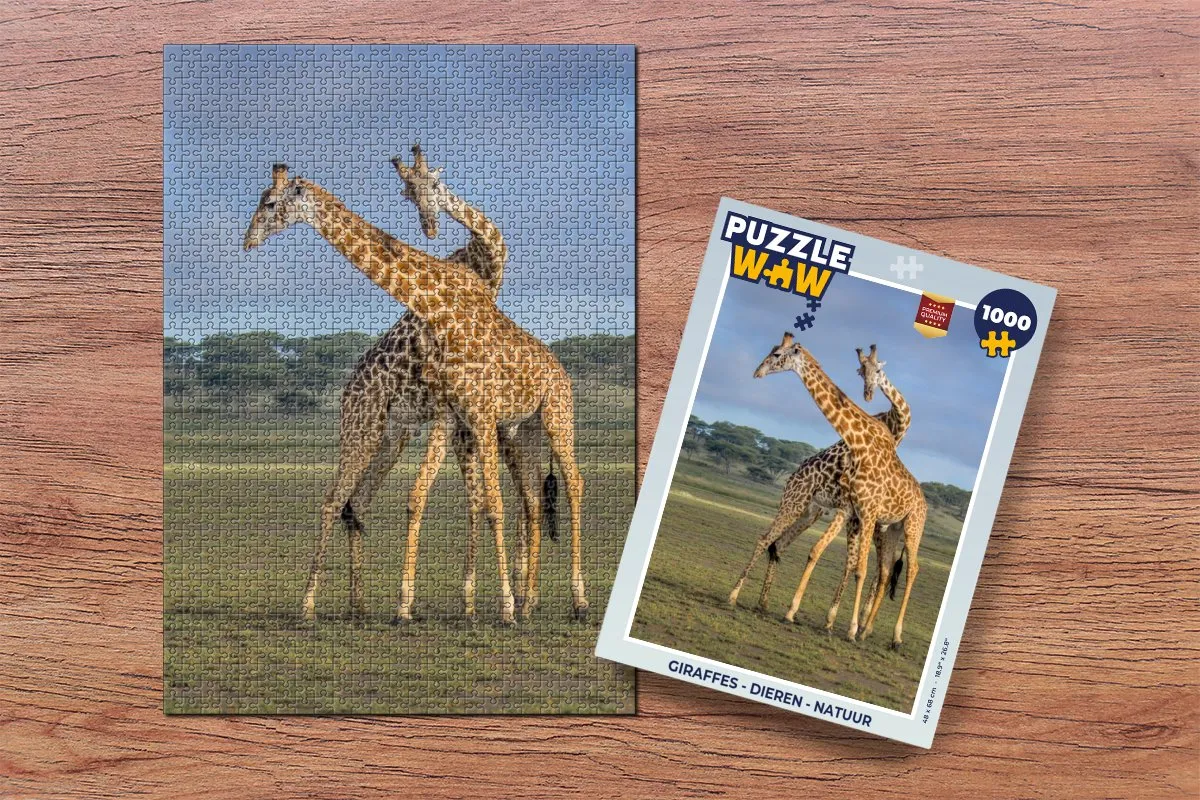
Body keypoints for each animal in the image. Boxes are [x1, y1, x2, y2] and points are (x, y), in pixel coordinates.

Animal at [243, 163, 587, 626]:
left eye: (270, 202)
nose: (249, 239)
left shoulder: (472, 418)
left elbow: (482, 502)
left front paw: (489, 604)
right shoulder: (459, 419)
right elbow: (448, 499)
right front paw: (454, 603)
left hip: (546, 417)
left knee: (567, 485)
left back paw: (569, 601)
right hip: (381, 431)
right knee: (345, 501)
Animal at [752, 333, 927, 648]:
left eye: (777, 354)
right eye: (860, 371)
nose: (757, 372)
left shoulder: (863, 513)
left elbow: (857, 567)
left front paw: (846, 626)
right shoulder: (854, 512)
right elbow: (841, 560)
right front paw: (831, 620)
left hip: (911, 526)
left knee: (910, 569)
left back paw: (893, 636)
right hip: (819, 512)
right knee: (779, 545)